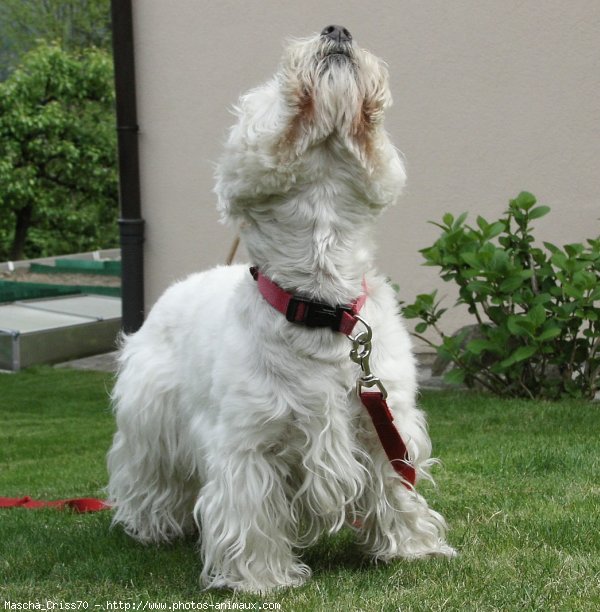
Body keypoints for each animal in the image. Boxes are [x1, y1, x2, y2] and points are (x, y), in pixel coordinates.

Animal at [108, 25, 454, 592]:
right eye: (269, 85)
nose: (337, 29)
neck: (321, 306)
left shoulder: (383, 420)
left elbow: (395, 486)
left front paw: (411, 548)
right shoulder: (248, 439)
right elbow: (250, 509)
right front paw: (262, 577)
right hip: (150, 416)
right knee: (148, 474)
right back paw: (150, 526)